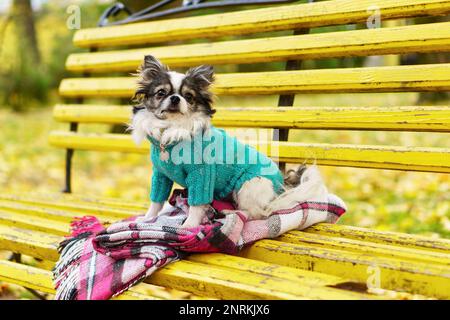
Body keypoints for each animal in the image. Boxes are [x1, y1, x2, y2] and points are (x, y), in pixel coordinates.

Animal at [129, 56, 302, 229]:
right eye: (161, 93)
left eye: (189, 96)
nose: (175, 98)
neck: (172, 128)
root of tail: (282, 185)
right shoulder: (161, 175)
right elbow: (156, 201)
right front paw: (147, 218)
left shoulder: (201, 174)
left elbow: (196, 204)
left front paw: (189, 225)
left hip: (249, 185)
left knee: (257, 214)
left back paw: (230, 212)